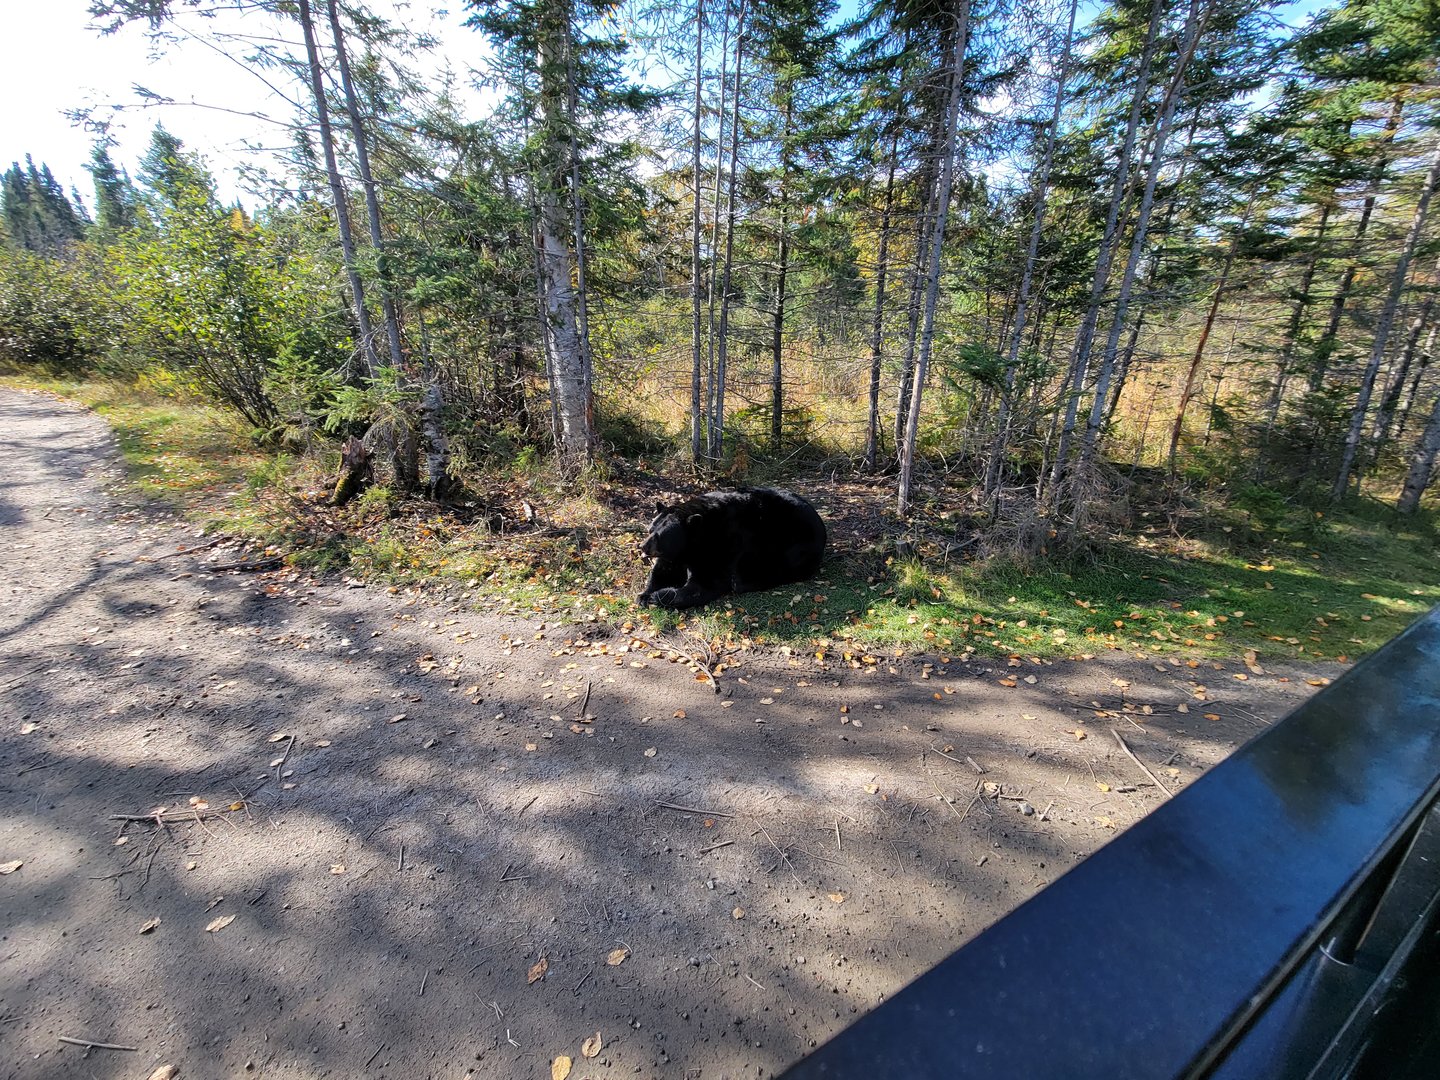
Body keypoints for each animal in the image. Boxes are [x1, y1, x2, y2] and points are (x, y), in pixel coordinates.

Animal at [637, 487, 827, 610]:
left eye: (660, 536)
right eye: (650, 529)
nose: (643, 546)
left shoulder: (724, 543)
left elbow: (705, 583)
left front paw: (659, 595)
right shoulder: (675, 554)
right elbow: (663, 571)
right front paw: (645, 595)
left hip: (793, 542)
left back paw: (744, 582)